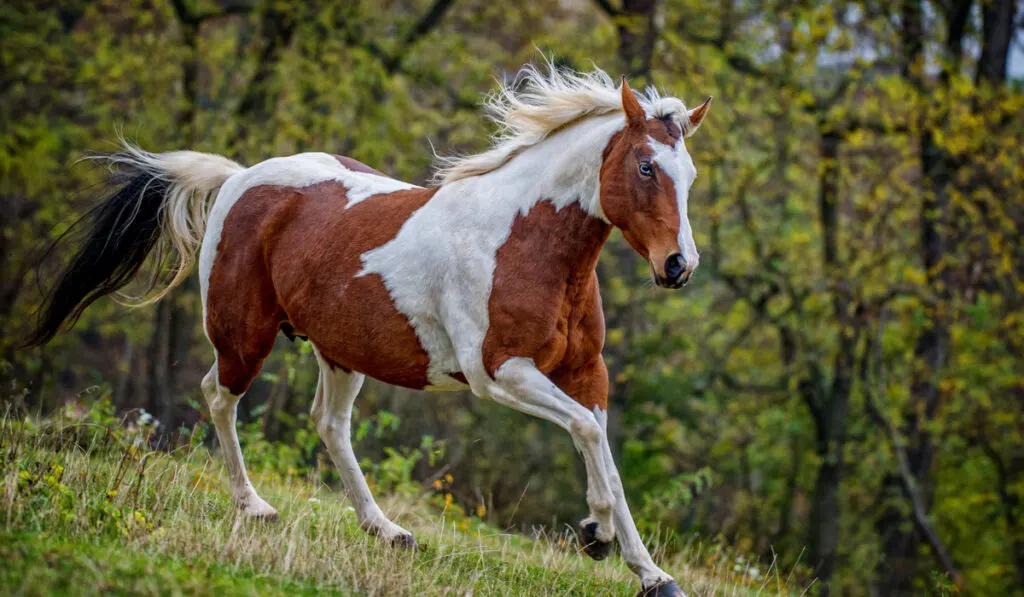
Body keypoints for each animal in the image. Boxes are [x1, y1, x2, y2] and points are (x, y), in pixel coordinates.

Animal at [25, 65, 712, 597]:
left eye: (690, 176)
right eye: (646, 167)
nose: (679, 266)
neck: (523, 240)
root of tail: (239, 177)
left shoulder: (585, 372)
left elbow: (600, 447)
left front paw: (647, 570)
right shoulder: (498, 372)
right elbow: (587, 434)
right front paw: (598, 534)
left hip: (341, 351)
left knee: (329, 424)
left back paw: (388, 530)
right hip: (243, 334)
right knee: (219, 396)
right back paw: (256, 507)